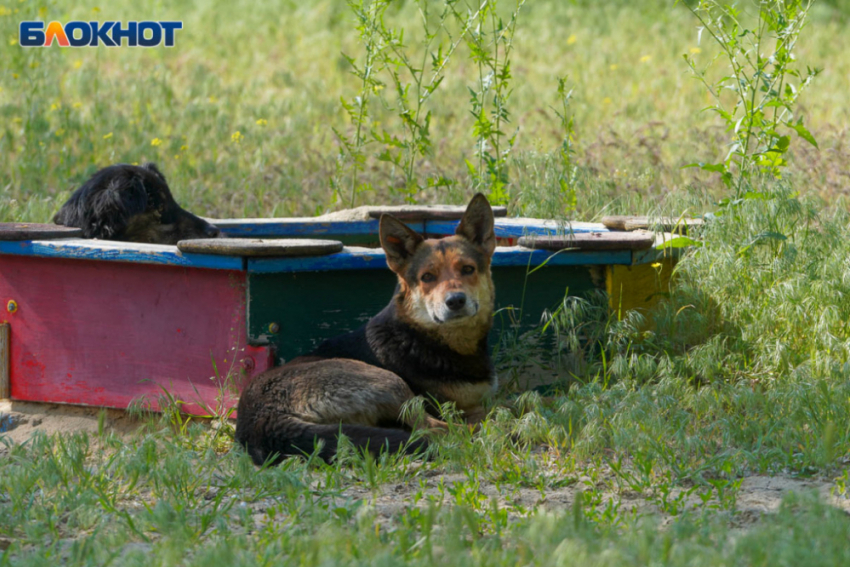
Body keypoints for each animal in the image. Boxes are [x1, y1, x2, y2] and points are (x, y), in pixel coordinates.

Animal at [234, 193, 496, 464]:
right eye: (427, 277)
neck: (421, 335)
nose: (455, 301)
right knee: (438, 430)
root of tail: (261, 419)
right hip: (389, 381)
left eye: (468, 269)